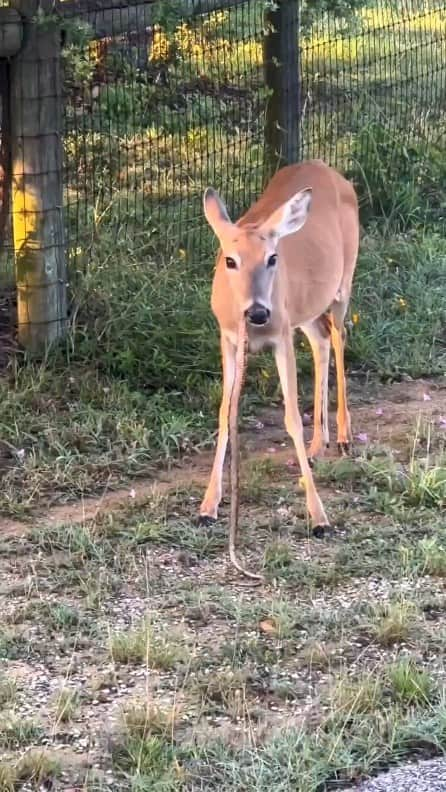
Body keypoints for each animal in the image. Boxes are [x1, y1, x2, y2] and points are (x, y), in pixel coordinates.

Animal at [199, 158, 358, 572]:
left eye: (272, 258)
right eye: (230, 260)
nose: (257, 312)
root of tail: (327, 168)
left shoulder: (281, 336)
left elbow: (290, 417)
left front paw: (319, 518)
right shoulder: (227, 338)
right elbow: (224, 412)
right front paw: (208, 505)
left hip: (343, 282)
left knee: (339, 336)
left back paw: (344, 435)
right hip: (307, 309)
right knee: (321, 340)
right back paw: (319, 444)